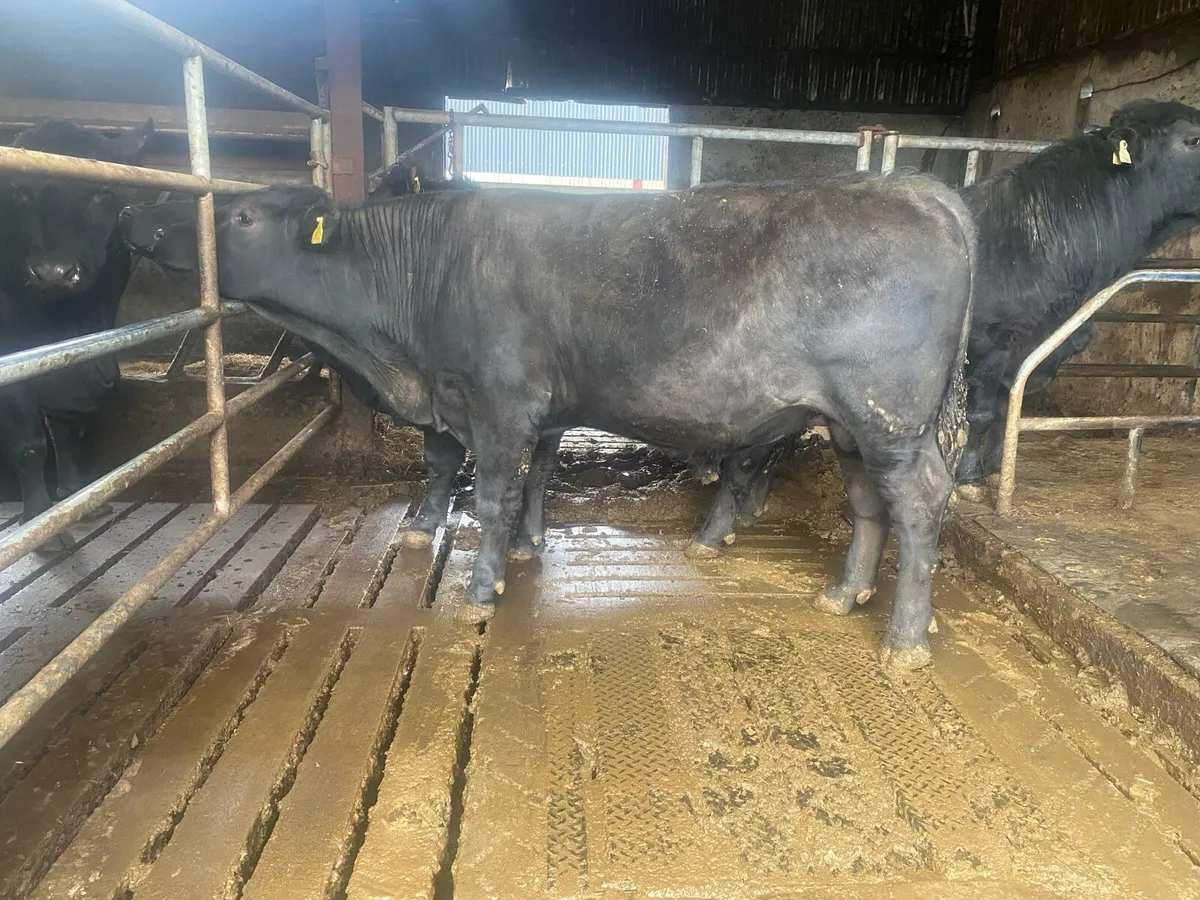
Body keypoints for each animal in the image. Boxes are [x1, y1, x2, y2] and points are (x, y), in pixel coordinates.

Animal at [0, 119, 154, 551]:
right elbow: (29, 443)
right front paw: (41, 524)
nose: (53, 272)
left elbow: (68, 431)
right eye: (19, 190)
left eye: (101, 190)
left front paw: (74, 498)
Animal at [122, 173, 975, 669]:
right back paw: (844, 593)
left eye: (240, 214)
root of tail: (916, 186)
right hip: (851, 425)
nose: (139, 219)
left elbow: (492, 492)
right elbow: (529, 478)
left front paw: (482, 585)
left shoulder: (499, 402)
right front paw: (528, 548)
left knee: (918, 503)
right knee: (869, 505)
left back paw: (904, 640)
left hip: (889, 414)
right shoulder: (520, 407)